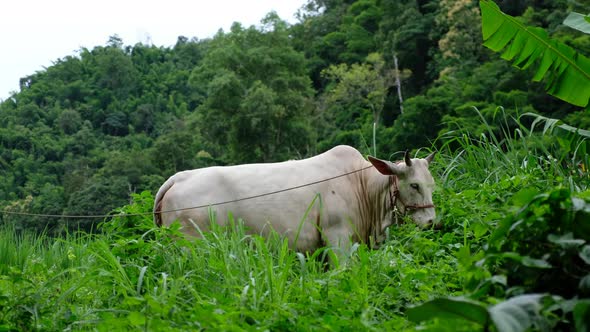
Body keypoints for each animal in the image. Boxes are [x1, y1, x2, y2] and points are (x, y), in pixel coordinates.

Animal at [155, 146, 438, 254]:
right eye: (414, 185)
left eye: (431, 185)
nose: (432, 222)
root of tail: (178, 178)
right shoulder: (337, 238)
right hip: (191, 246)